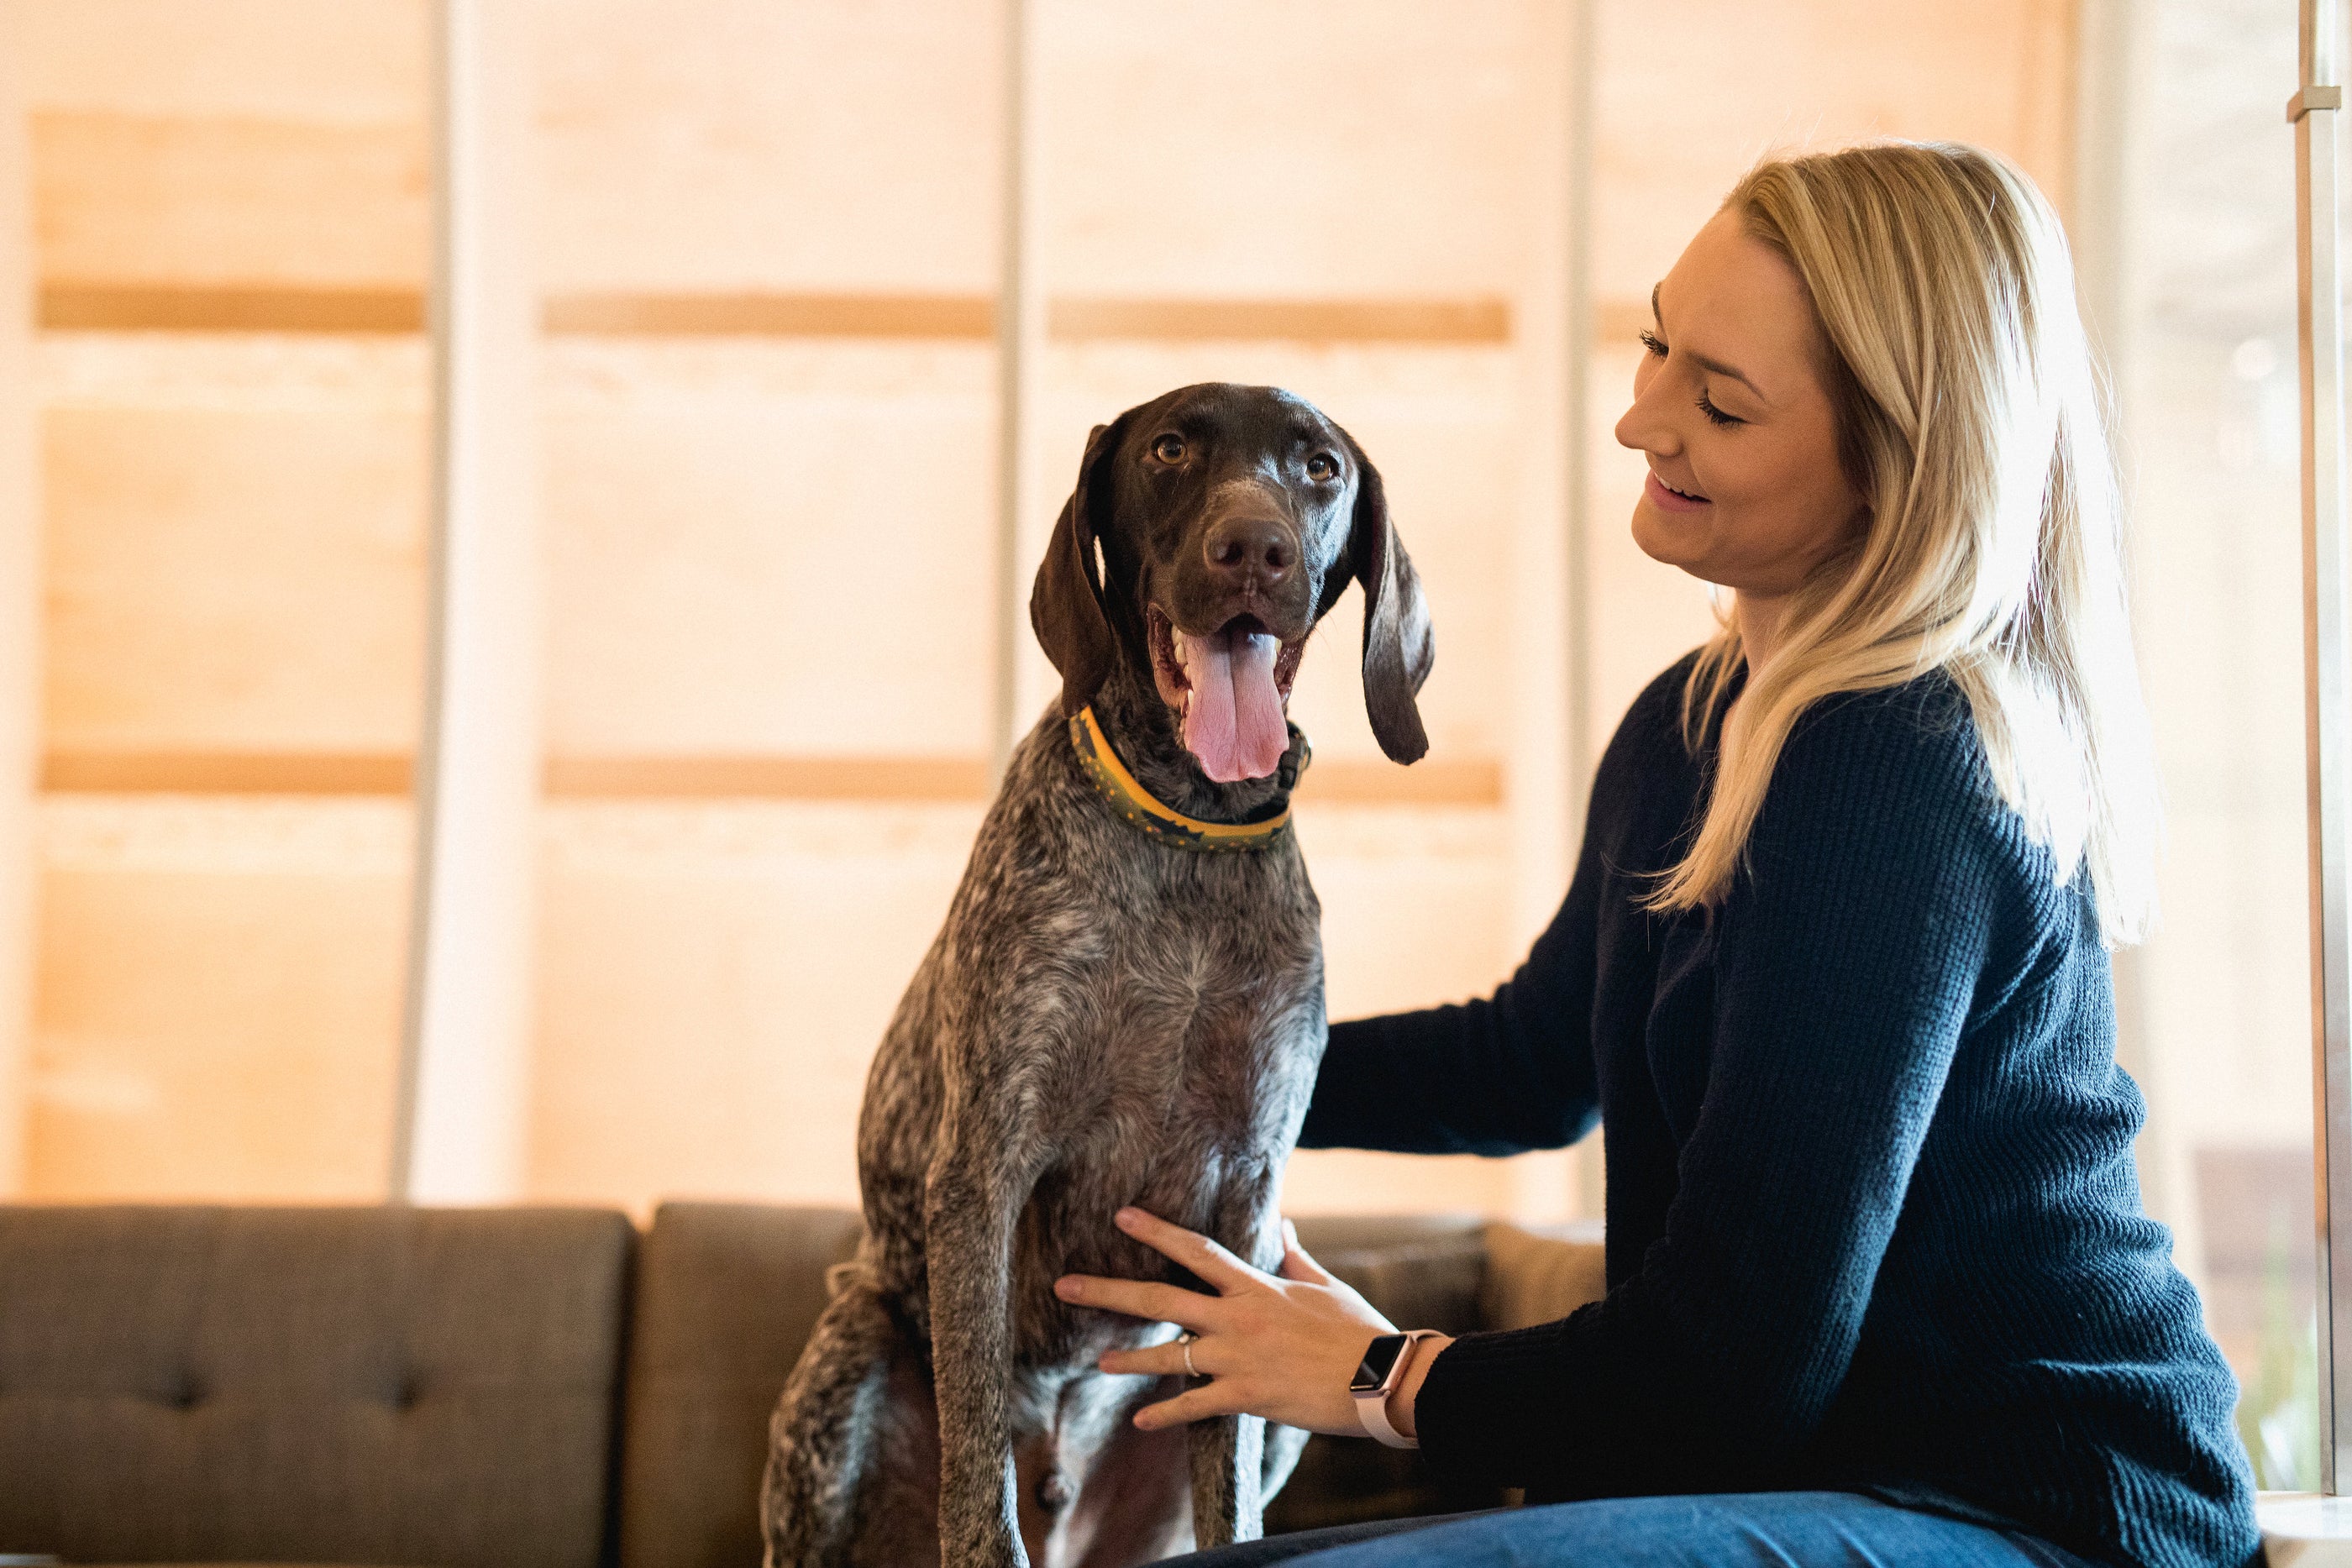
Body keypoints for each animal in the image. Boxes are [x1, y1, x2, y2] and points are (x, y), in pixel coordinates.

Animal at [766, 380, 1430, 1568]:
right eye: (1169, 449)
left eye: (1319, 467)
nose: (1253, 548)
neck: (1189, 833)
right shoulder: (983, 1163)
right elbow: (978, 1451)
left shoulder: (1247, 1206)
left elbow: (1229, 1477)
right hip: (847, 1357)